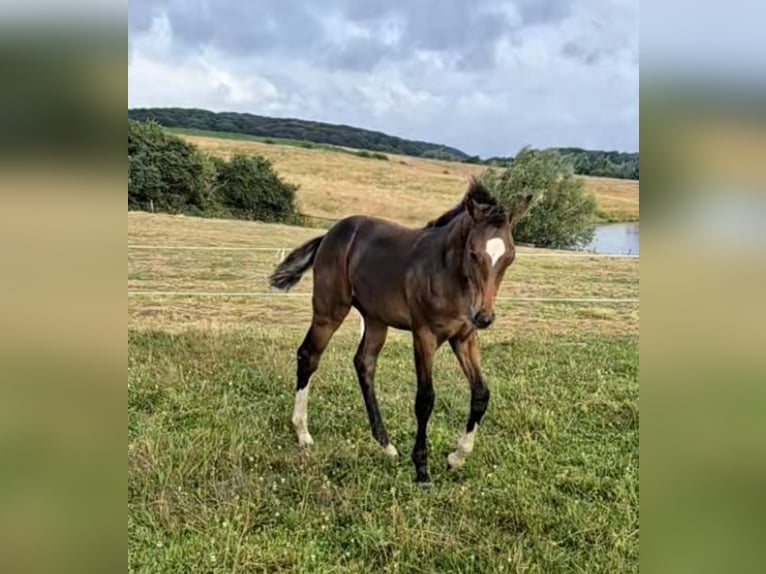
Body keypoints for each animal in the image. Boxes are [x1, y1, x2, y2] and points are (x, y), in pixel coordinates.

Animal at [270, 178, 536, 484]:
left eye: (510, 257)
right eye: (473, 253)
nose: (484, 317)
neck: (448, 275)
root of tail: (330, 234)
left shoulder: (464, 337)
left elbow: (481, 393)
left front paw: (456, 458)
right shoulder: (424, 335)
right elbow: (425, 399)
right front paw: (422, 470)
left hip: (375, 319)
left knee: (364, 363)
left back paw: (386, 445)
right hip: (330, 310)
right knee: (309, 355)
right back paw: (303, 433)